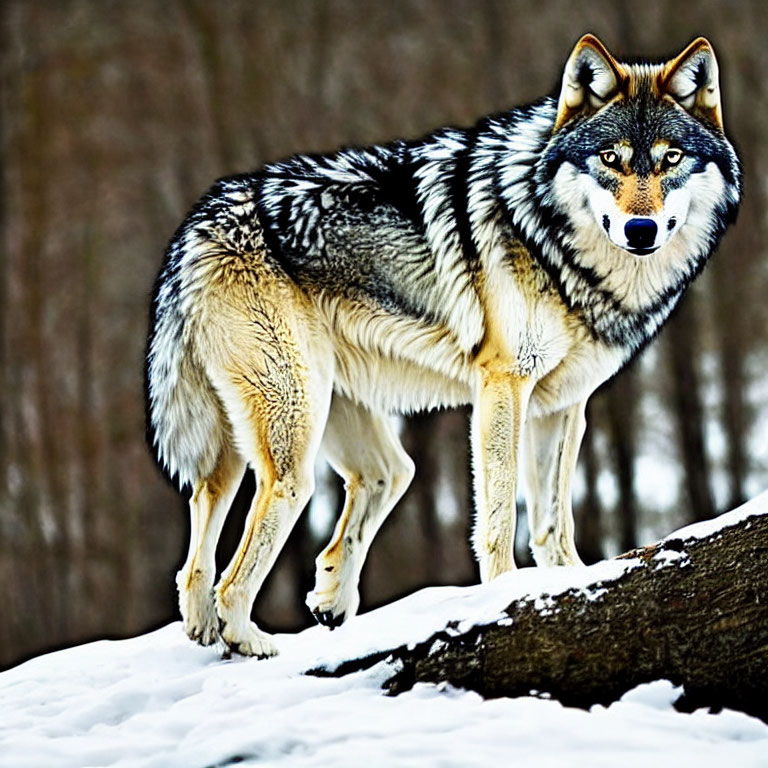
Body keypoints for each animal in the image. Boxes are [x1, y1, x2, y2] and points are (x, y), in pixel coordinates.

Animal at [144, 36, 736, 656]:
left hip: (305, 423)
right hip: (293, 441)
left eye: (671, 159)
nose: (640, 230)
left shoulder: (561, 406)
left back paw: (255, 617)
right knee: (239, 565)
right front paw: (505, 593)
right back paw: (246, 637)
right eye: (611, 159)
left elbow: (553, 521)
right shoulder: (504, 385)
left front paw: (572, 583)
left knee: (244, 517)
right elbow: (500, 514)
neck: (554, 244)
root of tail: (199, 222)